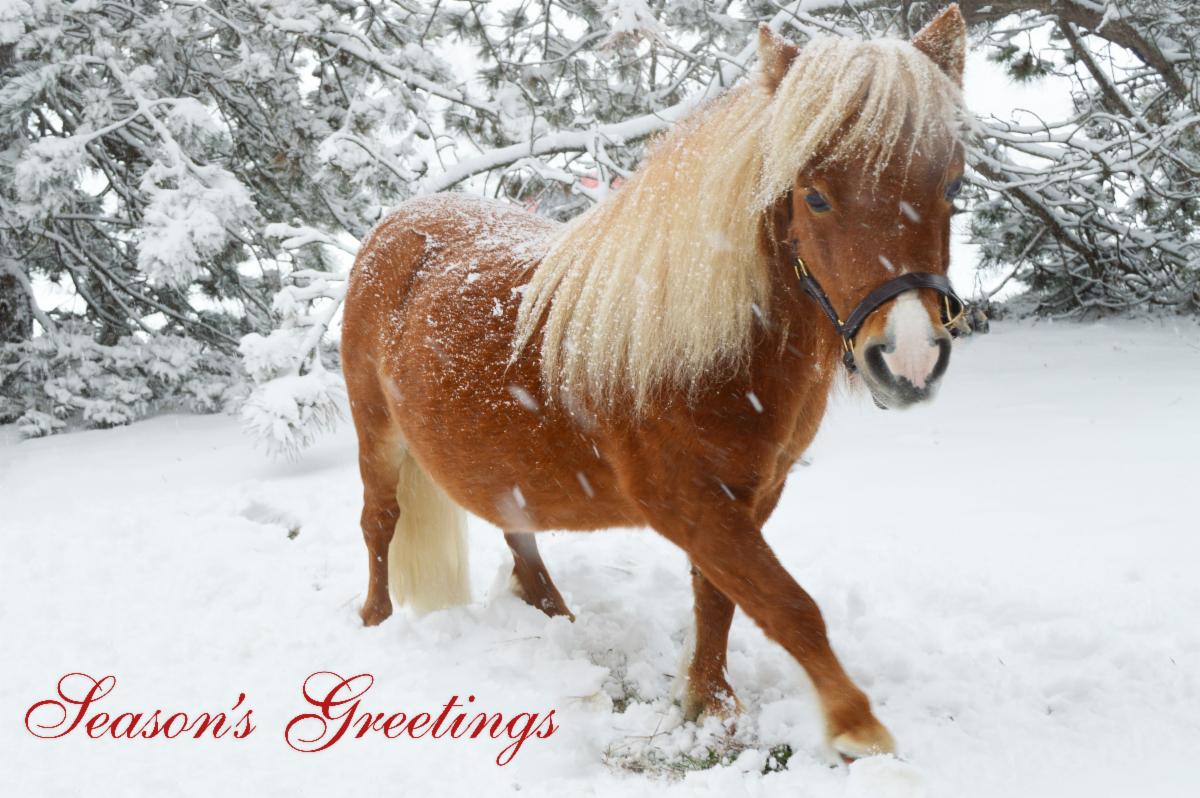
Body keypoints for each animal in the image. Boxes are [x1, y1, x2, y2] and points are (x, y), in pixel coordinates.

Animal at [340, 5, 969, 761]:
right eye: (814, 196)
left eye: (953, 189)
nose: (910, 360)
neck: (708, 351)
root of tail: (396, 224)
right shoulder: (688, 502)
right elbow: (787, 605)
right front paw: (857, 727)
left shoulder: (751, 495)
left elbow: (722, 597)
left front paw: (710, 704)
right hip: (376, 433)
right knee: (379, 523)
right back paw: (375, 623)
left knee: (517, 531)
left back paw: (557, 616)